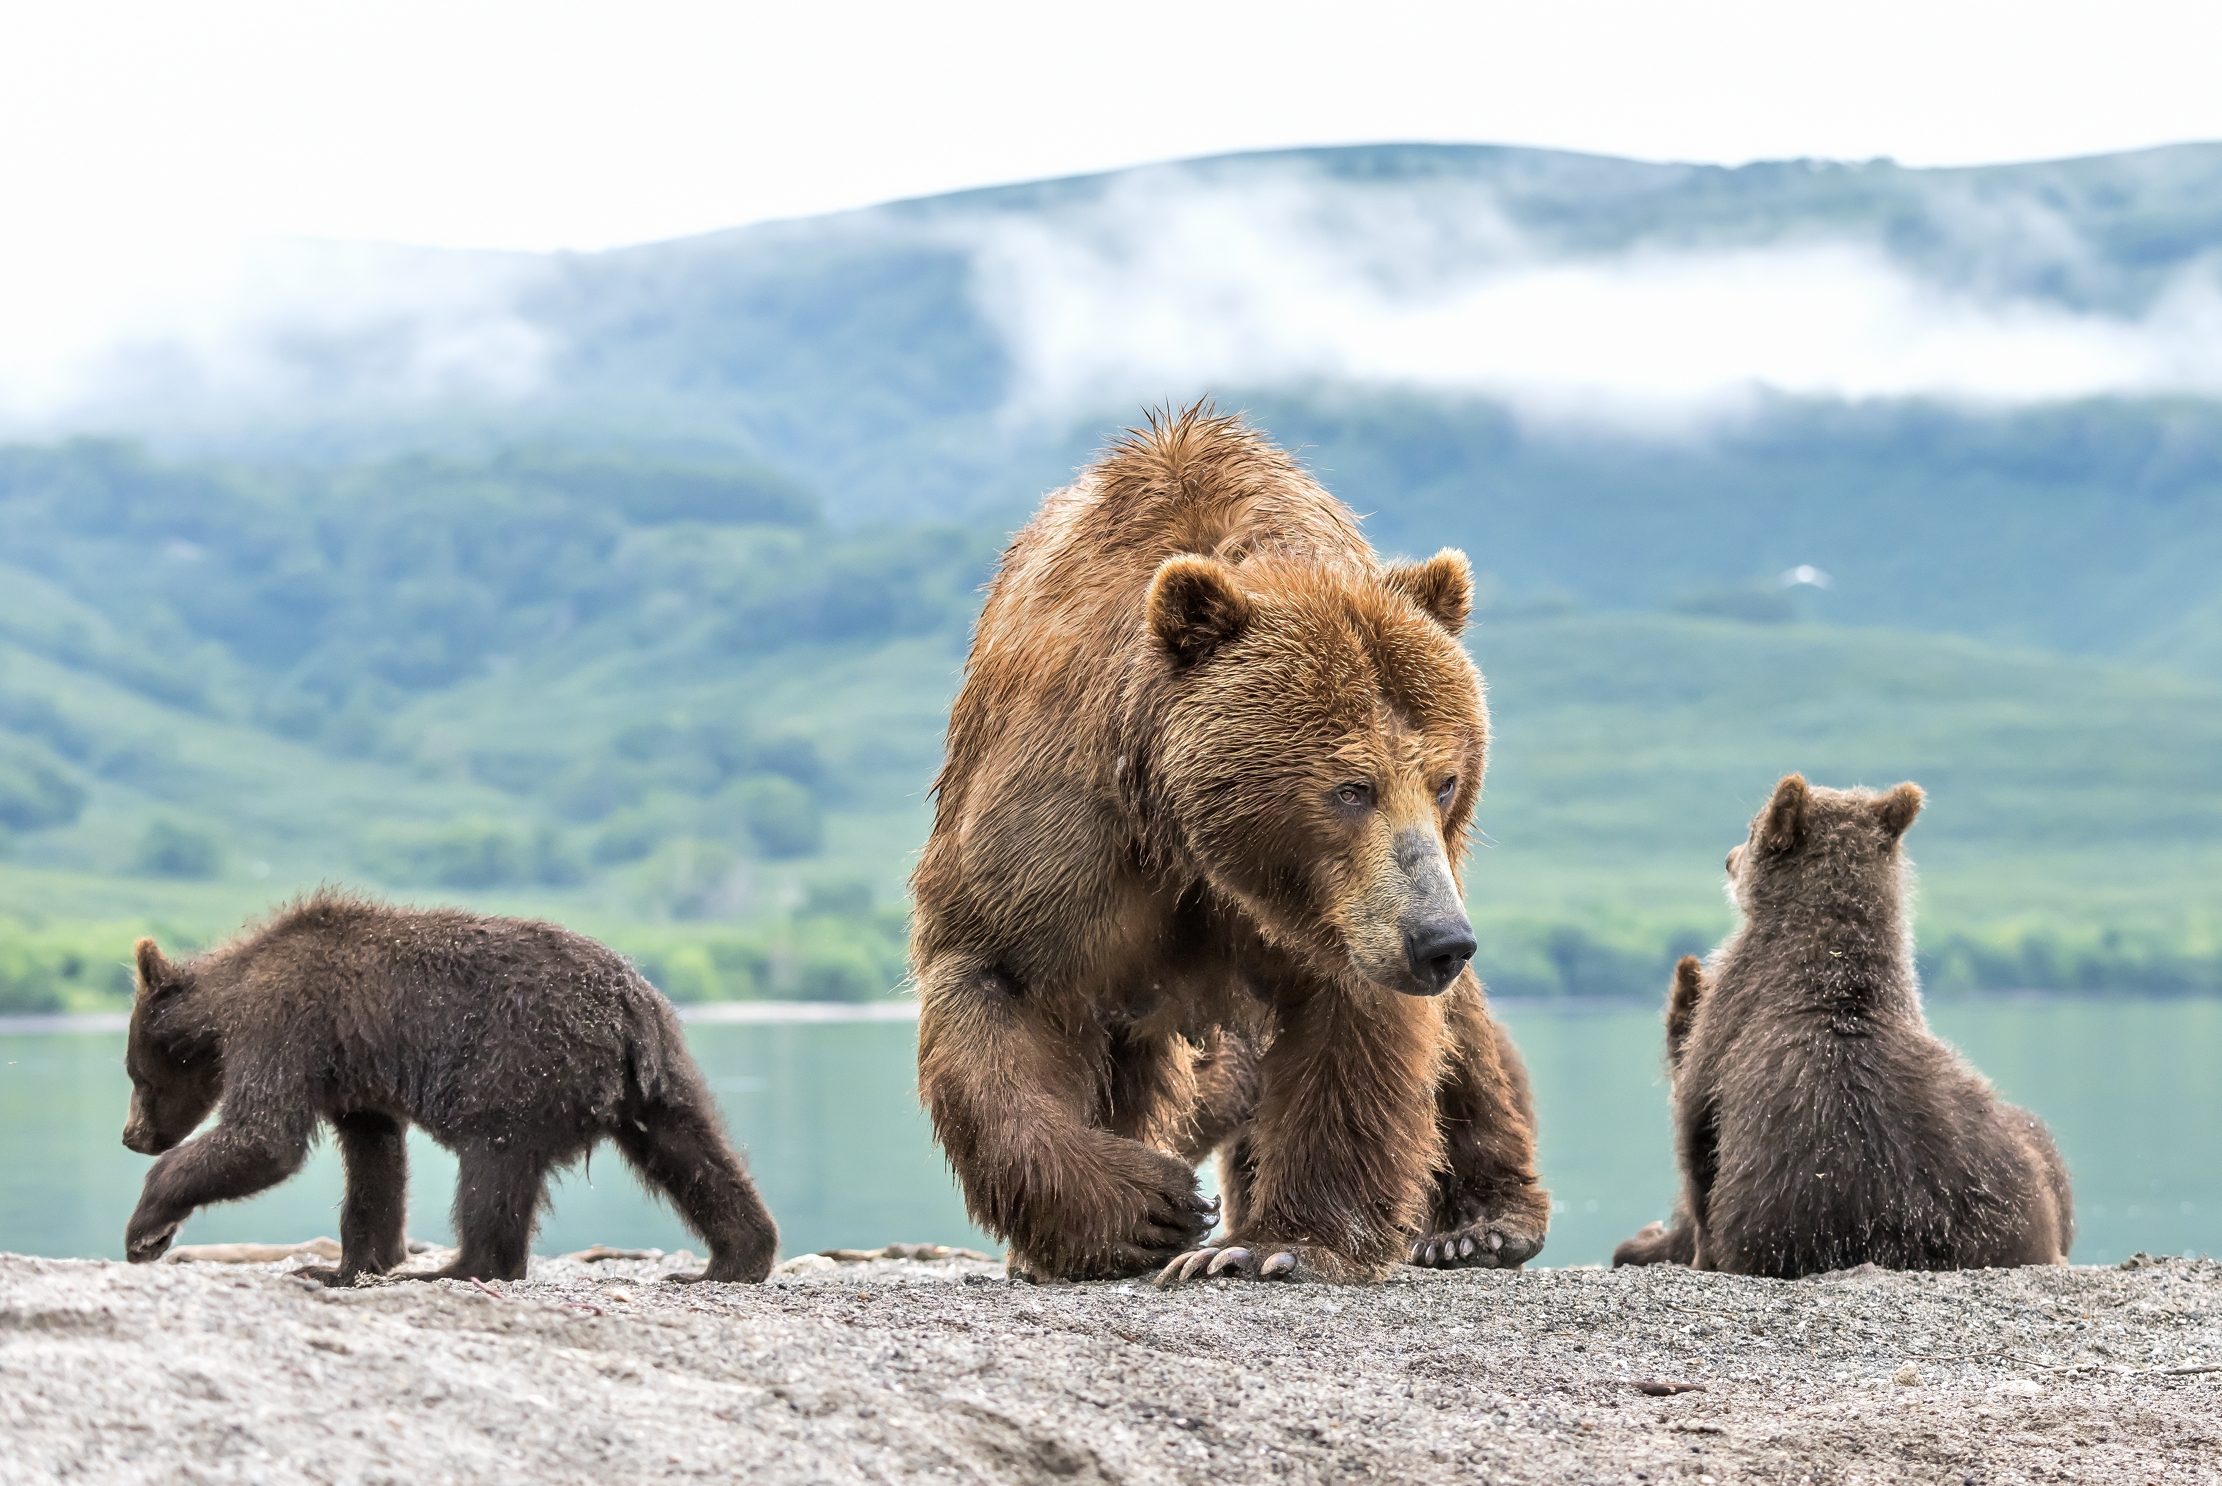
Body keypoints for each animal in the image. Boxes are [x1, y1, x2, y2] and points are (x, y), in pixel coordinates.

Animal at [120, 890, 779, 1285]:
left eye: (133, 1072)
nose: (131, 1136)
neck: (227, 1004)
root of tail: (627, 1006)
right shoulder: (353, 1079)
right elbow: (375, 1164)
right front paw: (348, 1266)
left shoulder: (286, 1026)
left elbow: (264, 1137)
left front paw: (147, 1228)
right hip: (654, 1077)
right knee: (692, 1150)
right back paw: (732, 1258)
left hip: (517, 1063)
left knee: (492, 1165)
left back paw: (457, 1268)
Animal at [910, 406, 1550, 1285]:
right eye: (1351, 787)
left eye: (1446, 780)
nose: (1440, 940)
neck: (1203, 847)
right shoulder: (1060, 840)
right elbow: (1000, 985)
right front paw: (1148, 1209)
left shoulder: (1349, 913)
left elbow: (1358, 1031)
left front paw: (1275, 1244)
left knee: (1461, 1036)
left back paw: (1481, 1224)